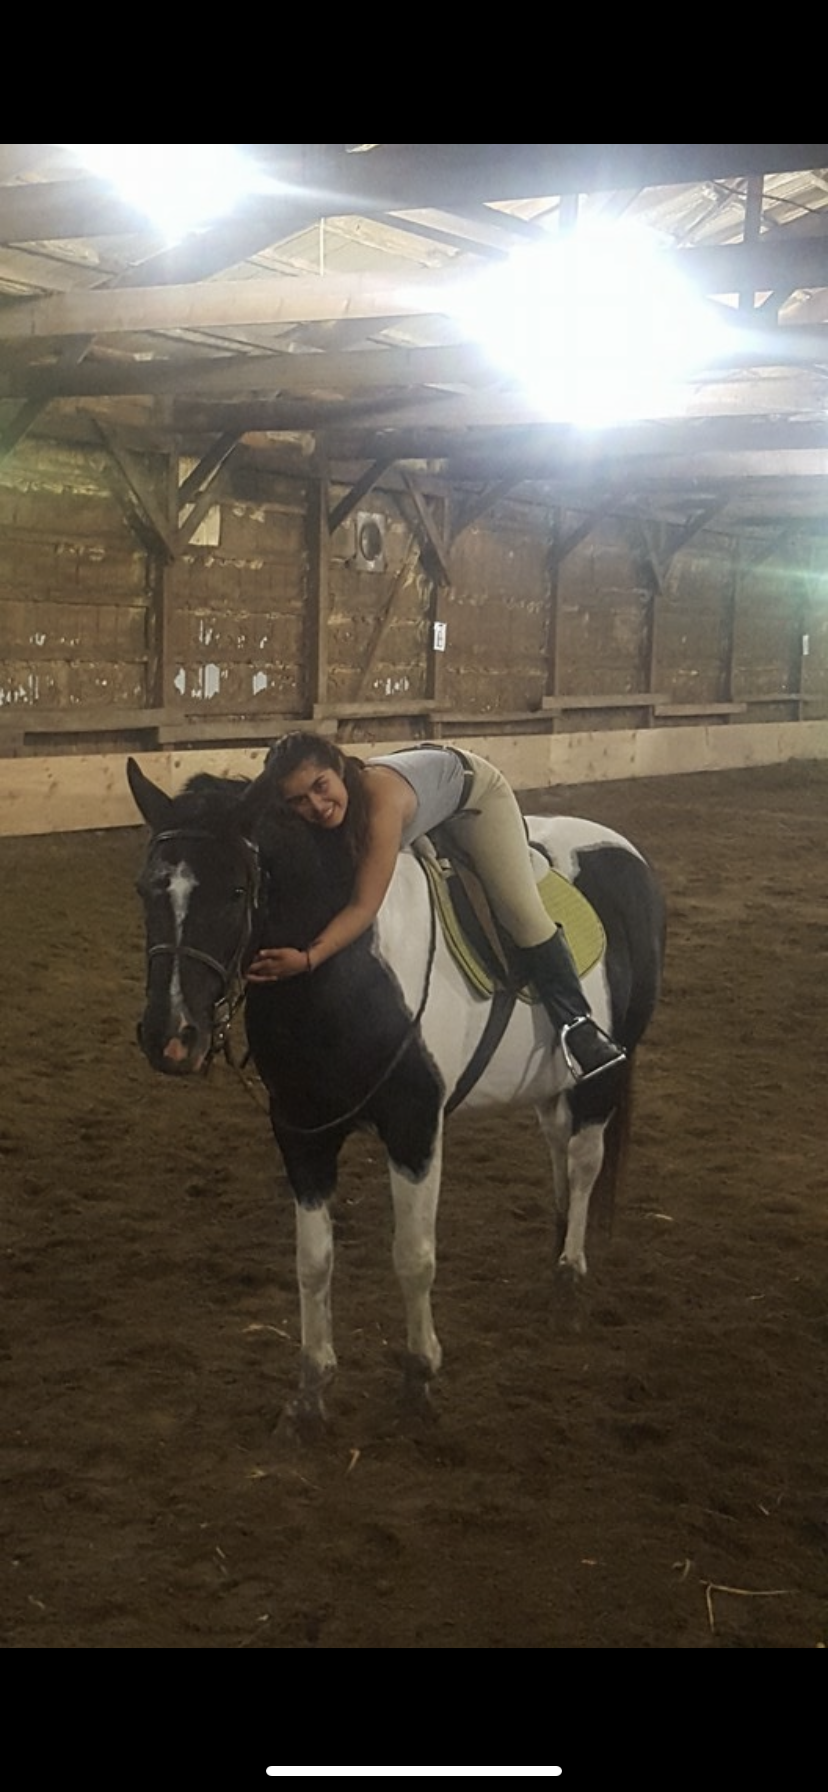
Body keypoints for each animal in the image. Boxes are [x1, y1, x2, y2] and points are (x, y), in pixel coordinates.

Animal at [126, 755, 665, 1431]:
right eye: (147, 889)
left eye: (236, 892)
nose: (171, 1036)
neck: (346, 968)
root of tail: (622, 850)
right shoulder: (300, 1134)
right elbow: (313, 1262)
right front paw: (311, 1393)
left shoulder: (415, 1129)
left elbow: (413, 1256)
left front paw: (418, 1374)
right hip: (552, 1080)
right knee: (557, 1147)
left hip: (603, 1071)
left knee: (587, 1158)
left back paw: (569, 1278)